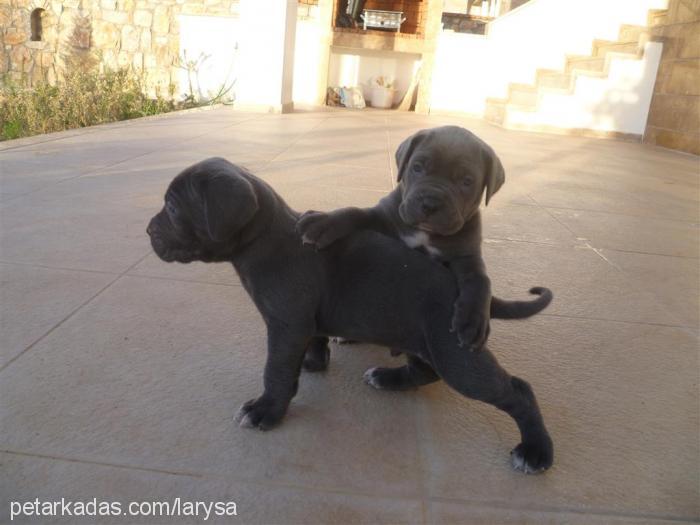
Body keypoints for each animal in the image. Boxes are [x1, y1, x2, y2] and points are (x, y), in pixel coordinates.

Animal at [146, 158, 552, 472]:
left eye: (172, 208)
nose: (148, 230)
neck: (264, 241)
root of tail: (466, 290)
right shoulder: (304, 323)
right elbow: (311, 344)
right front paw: (312, 363)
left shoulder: (286, 325)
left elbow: (275, 371)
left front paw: (266, 410)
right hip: (425, 341)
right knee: (426, 371)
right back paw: (388, 378)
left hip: (457, 355)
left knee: (516, 390)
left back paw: (536, 451)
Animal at [298, 125, 512, 350]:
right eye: (417, 167)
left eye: (467, 181)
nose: (430, 204)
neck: (425, 233)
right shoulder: (383, 219)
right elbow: (355, 212)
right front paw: (323, 222)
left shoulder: (466, 256)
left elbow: (480, 280)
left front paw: (473, 321)